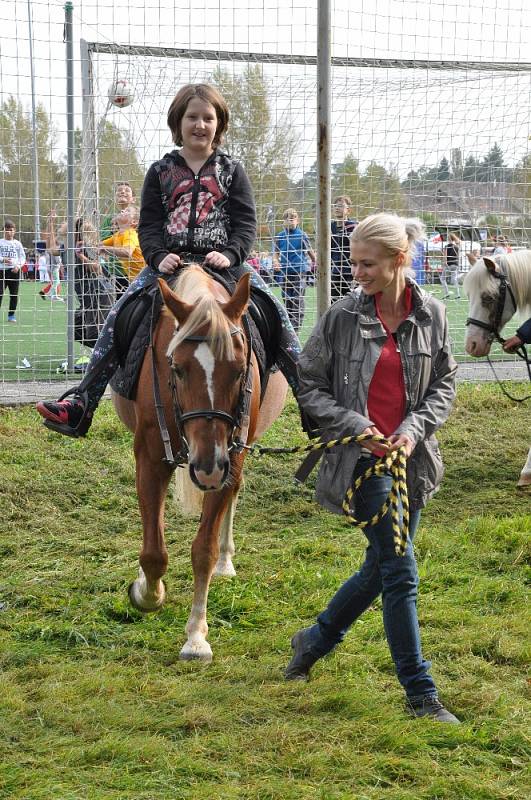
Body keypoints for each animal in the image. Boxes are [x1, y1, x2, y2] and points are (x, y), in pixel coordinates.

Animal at [110, 266, 288, 660]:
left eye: (239, 370)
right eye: (176, 368)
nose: (208, 466)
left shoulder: (230, 458)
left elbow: (203, 550)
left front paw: (196, 636)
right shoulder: (150, 459)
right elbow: (153, 552)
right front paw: (146, 592)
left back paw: (226, 560)